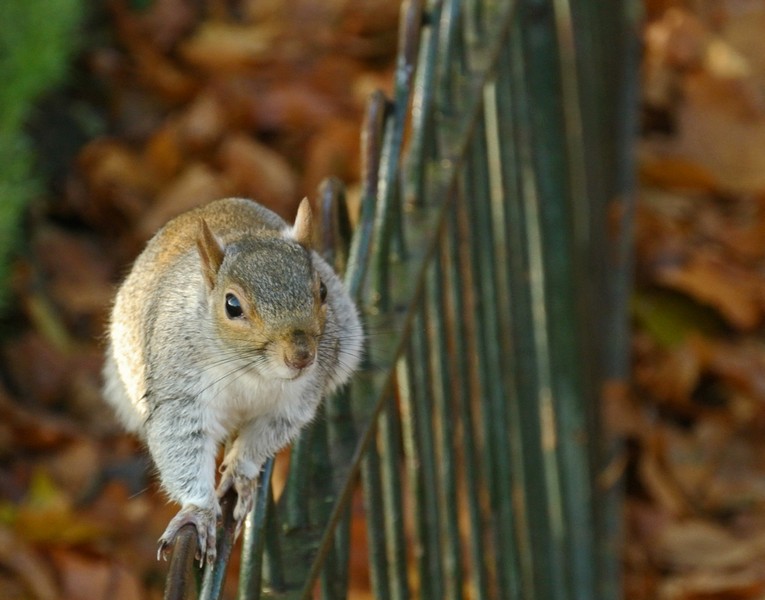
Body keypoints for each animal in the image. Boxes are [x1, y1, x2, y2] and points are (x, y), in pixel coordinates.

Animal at [102, 197, 363, 564]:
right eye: (232, 305)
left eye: (322, 290)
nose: (301, 356)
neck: (251, 372)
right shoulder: (179, 393)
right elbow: (181, 440)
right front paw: (199, 512)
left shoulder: (294, 401)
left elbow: (264, 437)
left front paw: (240, 475)